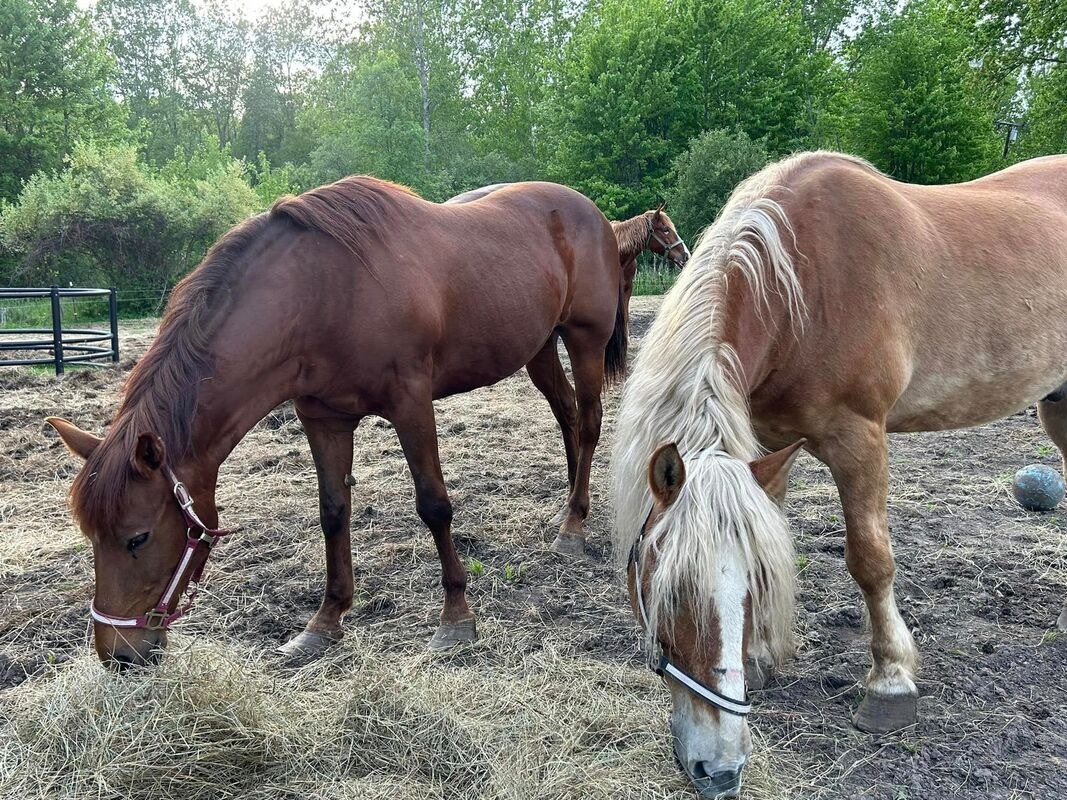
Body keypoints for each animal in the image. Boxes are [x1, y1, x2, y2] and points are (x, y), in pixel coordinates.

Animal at [47, 176, 625, 668]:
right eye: (92, 537)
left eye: (137, 538)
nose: (118, 655)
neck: (320, 294)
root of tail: (592, 213)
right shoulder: (323, 419)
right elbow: (333, 512)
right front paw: (325, 623)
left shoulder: (411, 404)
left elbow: (434, 505)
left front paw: (456, 619)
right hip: (539, 347)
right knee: (567, 414)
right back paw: (570, 507)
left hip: (584, 339)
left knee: (590, 421)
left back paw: (573, 527)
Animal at [612, 151, 1067, 797]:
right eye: (664, 591)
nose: (718, 770)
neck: (804, 282)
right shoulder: (768, 445)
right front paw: (759, 658)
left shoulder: (859, 440)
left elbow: (871, 561)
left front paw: (891, 682)